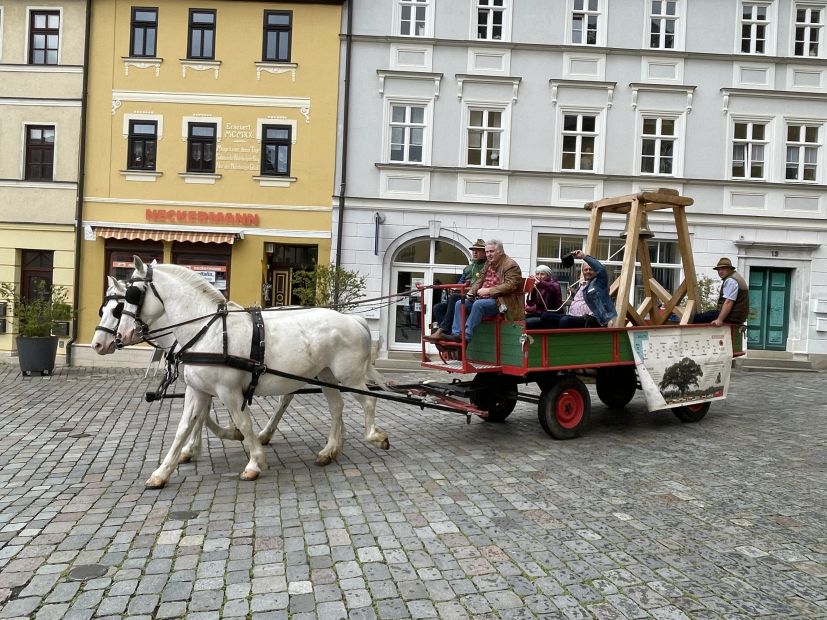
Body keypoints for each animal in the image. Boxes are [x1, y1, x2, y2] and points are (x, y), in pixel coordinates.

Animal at [91, 277, 293, 464]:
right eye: (103, 310)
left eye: (118, 309)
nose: (98, 345)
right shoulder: (201, 382)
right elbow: (201, 413)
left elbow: (203, 414)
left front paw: (199, 444)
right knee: (286, 397)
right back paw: (266, 434)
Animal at [116, 257, 389, 488]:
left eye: (133, 295)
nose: (120, 335)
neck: (208, 331)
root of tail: (353, 319)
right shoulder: (197, 390)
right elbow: (184, 428)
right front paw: (162, 472)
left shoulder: (229, 391)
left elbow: (244, 424)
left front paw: (255, 462)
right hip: (326, 375)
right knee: (336, 407)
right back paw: (329, 450)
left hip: (348, 375)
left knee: (368, 401)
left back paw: (374, 436)